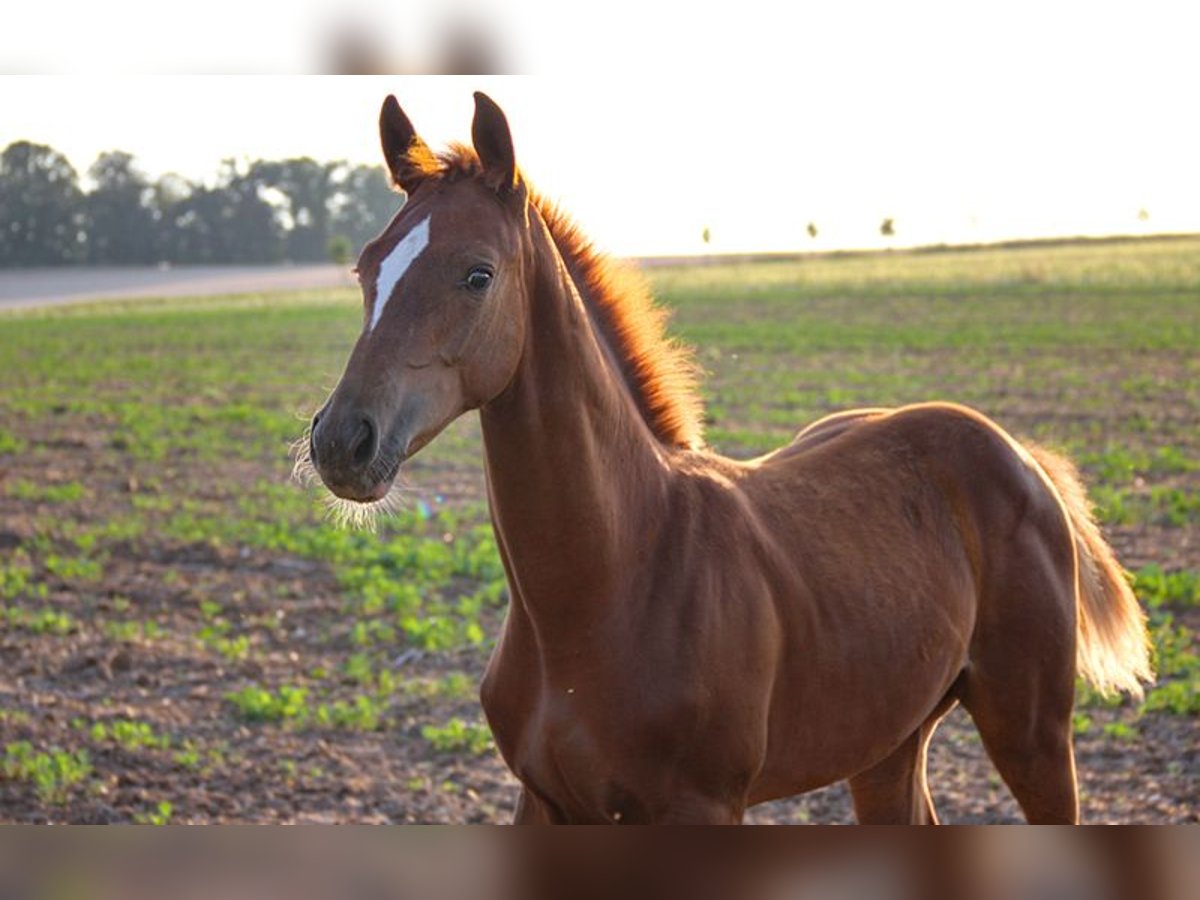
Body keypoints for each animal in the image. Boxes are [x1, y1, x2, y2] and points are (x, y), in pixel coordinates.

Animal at [304, 91, 1156, 825]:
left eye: (477, 273)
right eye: (366, 267)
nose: (342, 441)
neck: (610, 580)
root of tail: (1018, 454)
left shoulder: (703, 807)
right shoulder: (544, 803)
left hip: (1032, 729)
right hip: (887, 741)